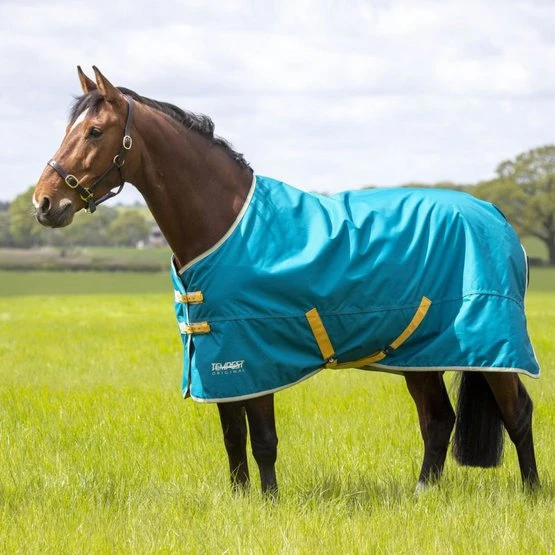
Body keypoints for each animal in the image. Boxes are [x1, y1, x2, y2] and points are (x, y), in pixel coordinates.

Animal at [33, 66, 540, 496]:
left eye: (94, 131)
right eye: (68, 129)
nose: (44, 202)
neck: (224, 222)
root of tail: (496, 215)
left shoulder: (255, 353)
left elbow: (263, 439)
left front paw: (269, 502)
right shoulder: (220, 359)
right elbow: (233, 436)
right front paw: (240, 501)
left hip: (492, 347)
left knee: (517, 413)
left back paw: (532, 494)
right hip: (420, 353)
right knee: (437, 420)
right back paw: (421, 495)